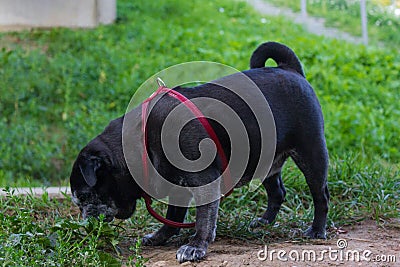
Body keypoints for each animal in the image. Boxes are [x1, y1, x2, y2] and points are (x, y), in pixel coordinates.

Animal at [70, 42, 330, 264]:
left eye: (83, 197)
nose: (84, 222)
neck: (141, 141)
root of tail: (290, 69)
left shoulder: (204, 182)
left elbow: (204, 218)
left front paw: (196, 246)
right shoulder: (177, 186)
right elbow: (174, 216)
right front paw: (160, 237)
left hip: (312, 155)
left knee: (321, 196)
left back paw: (317, 230)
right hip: (266, 162)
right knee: (277, 192)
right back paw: (265, 222)